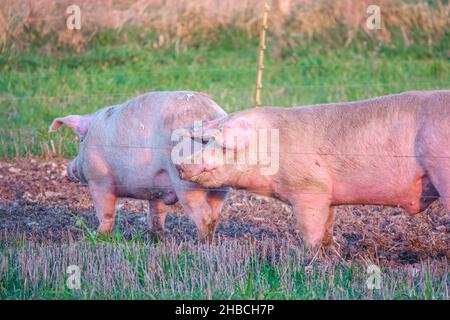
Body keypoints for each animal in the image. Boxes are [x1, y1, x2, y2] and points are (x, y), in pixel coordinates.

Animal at [49, 91, 229, 241]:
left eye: (80, 140)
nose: (69, 169)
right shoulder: (157, 189)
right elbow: (156, 213)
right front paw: (157, 239)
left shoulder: (99, 180)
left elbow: (105, 212)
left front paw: (98, 237)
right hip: (220, 187)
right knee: (214, 214)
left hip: (186, 182)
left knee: (204, 216)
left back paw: (201, 244)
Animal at [177, 90, 450, 248]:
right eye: (206, 141)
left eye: (222, 145)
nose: (180, 164)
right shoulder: (327, 194)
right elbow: (327, 226)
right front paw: (331, 254)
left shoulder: (309, 187)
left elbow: (311, 229)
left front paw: (307, 259)